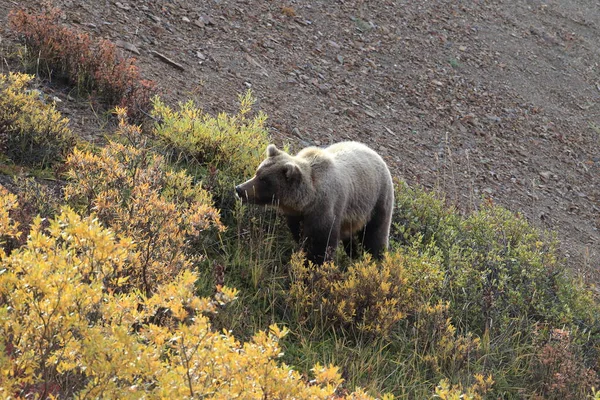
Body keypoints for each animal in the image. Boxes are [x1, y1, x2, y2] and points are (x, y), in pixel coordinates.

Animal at [234, 142, 394, 264]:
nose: (239, 189)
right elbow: (299, 233)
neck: (308, 200)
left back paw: (376, 259)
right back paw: (353, 254)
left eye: (264, 180)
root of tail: (375, 153)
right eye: (258, 172)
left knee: (375, 234)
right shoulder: (297, 214)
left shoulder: (326, 208)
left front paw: (314, 263)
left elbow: (321, 243)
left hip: (377, 199)